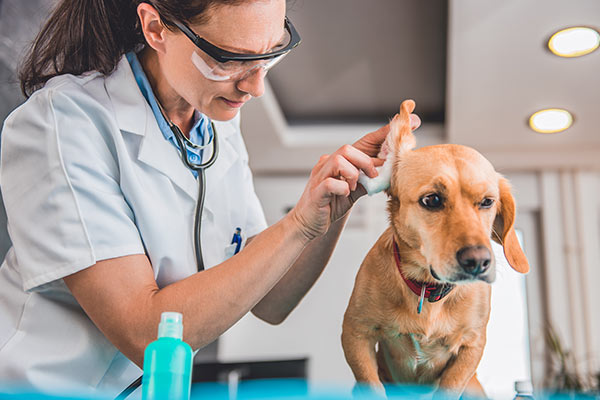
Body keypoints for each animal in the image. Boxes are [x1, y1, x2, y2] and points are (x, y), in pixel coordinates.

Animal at [342, 100, 528, 400]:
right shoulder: (356, 334)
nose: (478, 262)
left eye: (487, 201)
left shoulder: (472, 346)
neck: (428, 290)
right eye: (432, 200)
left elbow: (451, 382)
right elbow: (372, 383)